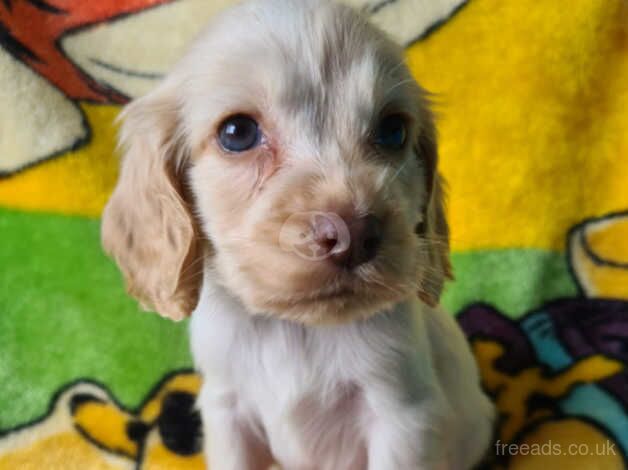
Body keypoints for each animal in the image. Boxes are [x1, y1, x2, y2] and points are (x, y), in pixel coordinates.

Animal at [103, 0, 496, 470]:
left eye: (393, 131)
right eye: (238, 133)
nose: (355, 234)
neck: (300, 330)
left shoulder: (403, 417)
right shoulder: (227, 410)